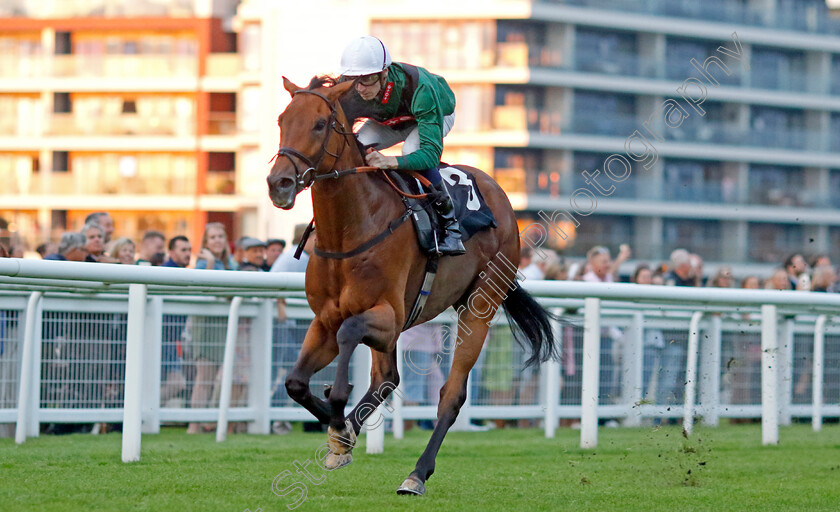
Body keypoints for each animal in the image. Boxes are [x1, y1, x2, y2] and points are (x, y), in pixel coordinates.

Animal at [270, 76, 556, 496]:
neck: (351, 228)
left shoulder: (387, 314)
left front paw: (339, 417)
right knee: (387, 378)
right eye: (282, 120)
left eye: (320, 124)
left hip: (480, 304)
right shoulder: (325, 320)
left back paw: (417, 474)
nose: (279, 183)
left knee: (450, 395)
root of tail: (498, 192)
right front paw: (341, 435)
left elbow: (349, 337)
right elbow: (295, 383)